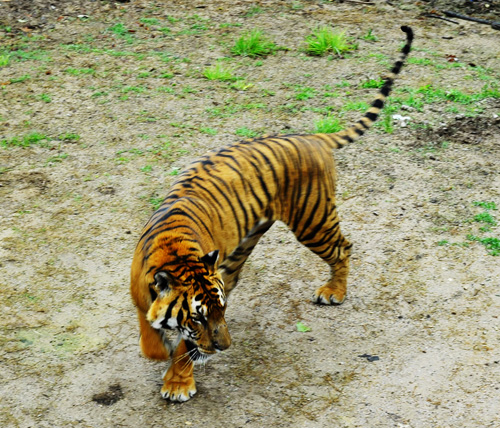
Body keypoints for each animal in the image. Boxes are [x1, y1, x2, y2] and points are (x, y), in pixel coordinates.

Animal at [130, 26, 414, 402]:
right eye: (198, 317)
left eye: (219, 311)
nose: (225, 346)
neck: (172, 252)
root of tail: (314, 137)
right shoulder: (141, 296)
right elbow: (150, 338)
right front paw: (158, 347)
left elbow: (183, 350)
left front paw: (177, 381)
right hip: (247, 240)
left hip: (312, 222)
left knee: (344, 247)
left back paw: (334, 292)